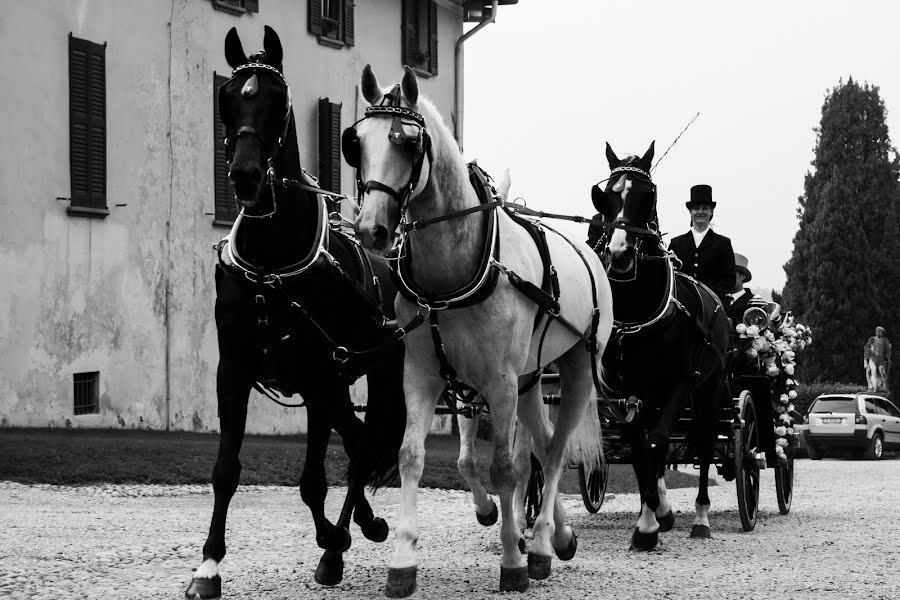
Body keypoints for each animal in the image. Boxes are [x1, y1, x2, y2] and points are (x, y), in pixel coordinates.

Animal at [186, 25, 404, 596]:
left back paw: (343, 539)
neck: (272, 263)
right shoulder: (235, 371)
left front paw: (332, 542)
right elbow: (226, 469)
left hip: (377, 373)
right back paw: (363, 523)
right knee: (357, 440)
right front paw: (208, 565)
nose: (244, 175)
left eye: (279, 101)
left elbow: (313, 481)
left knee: (362, 450)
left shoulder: (320, 377)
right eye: (226, 97)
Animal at [348, 65, 616, 596]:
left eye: (408, 142)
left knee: (555, 452)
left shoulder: (499, 382)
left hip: (573, 371)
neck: (455, 268)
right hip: (530, 381)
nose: (371, 230)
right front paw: (403, 560)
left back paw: (539, 544)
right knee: (544, 441)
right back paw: (559, 536)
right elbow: (413, 456)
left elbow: (505, 468)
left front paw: (512, 560)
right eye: (357, 142)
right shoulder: (425, 374)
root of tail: (590, 253)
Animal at [592, 143, 732, 552]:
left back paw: (700, 518)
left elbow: (656, 443)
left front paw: (651, 522)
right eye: (605, 195)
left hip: (709, 389)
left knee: (703, 443)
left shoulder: (679, 384)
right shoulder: (628, 392)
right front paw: (651, 518)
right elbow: (640, 449)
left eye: (648, 194)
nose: (620, 255)